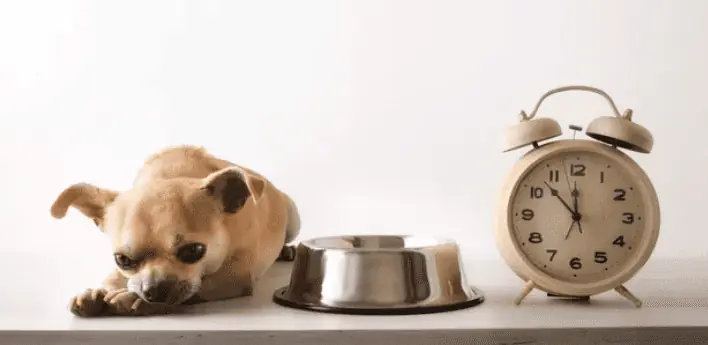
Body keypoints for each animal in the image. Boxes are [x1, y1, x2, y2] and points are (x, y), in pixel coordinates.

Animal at [50, 144, 302, 316]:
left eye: (194, 250)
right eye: (122, 259)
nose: (154, 290)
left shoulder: (234, 277)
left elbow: (198, 287)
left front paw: (131, 298)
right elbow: (113, 277)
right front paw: (97, 291)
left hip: (294, 217)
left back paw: (286, 249)